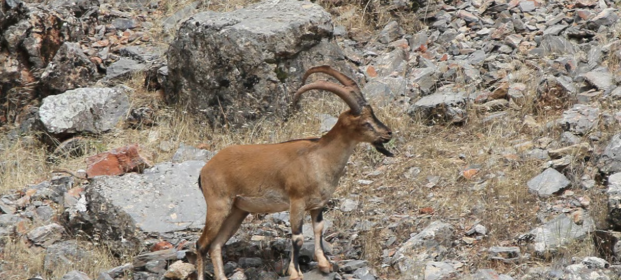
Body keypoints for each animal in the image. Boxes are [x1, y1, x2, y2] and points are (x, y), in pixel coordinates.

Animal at [196, 66, 394, 280]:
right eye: (365, 122)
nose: (388, 133)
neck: (319, 157)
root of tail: (204, 171)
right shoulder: (296, 201)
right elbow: (298, 237)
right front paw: (296, 272)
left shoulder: (318, 205)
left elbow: (318, 229)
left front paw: (324, 264)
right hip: (218, 205)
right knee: (201, 244)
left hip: (237, 210)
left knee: (216, 244)